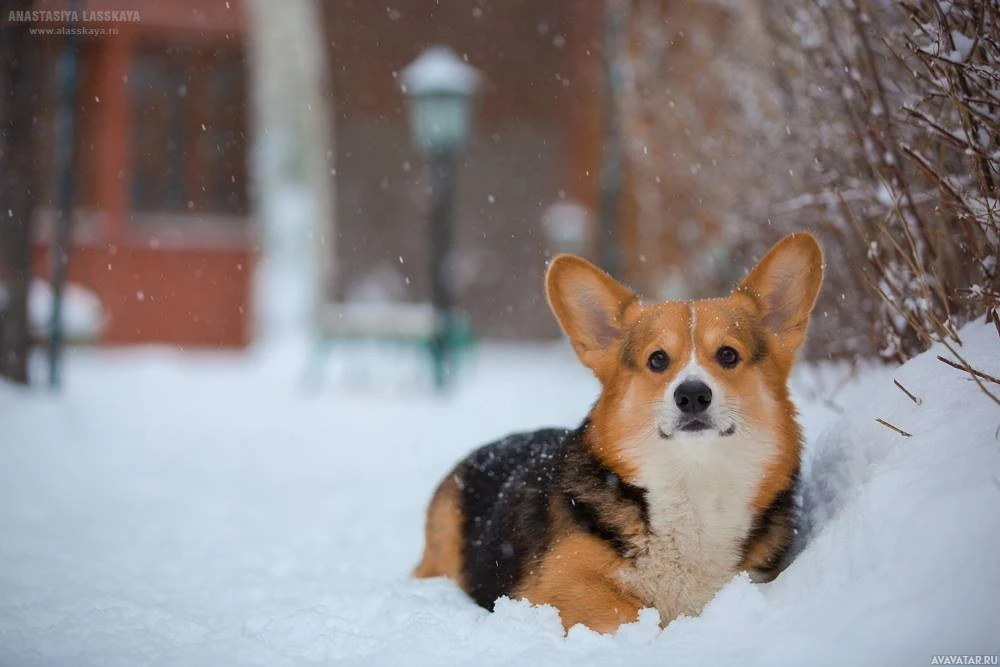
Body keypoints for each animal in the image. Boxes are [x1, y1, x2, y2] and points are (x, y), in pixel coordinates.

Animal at [412, 234, 820, 632]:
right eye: (657, 359)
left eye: (728, 355)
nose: (692, 395)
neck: (692, 481)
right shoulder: (552, 585)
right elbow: (629, 613)